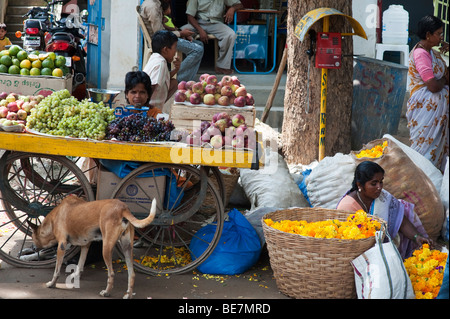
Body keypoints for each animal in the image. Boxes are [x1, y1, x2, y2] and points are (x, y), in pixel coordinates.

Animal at [29, 195, 157, 300]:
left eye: (32, 236)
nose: (32, 248)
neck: (54, 218)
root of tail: (123, 207)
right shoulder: (85, 245)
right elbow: (80, 264)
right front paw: (75, 275)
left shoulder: (62, 246)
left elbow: (56, 271)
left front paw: (52, 284)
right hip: (127, 248)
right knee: (132, 274)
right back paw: (129, 294)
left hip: (106, 248)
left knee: (111, 273)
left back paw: (106, 292)